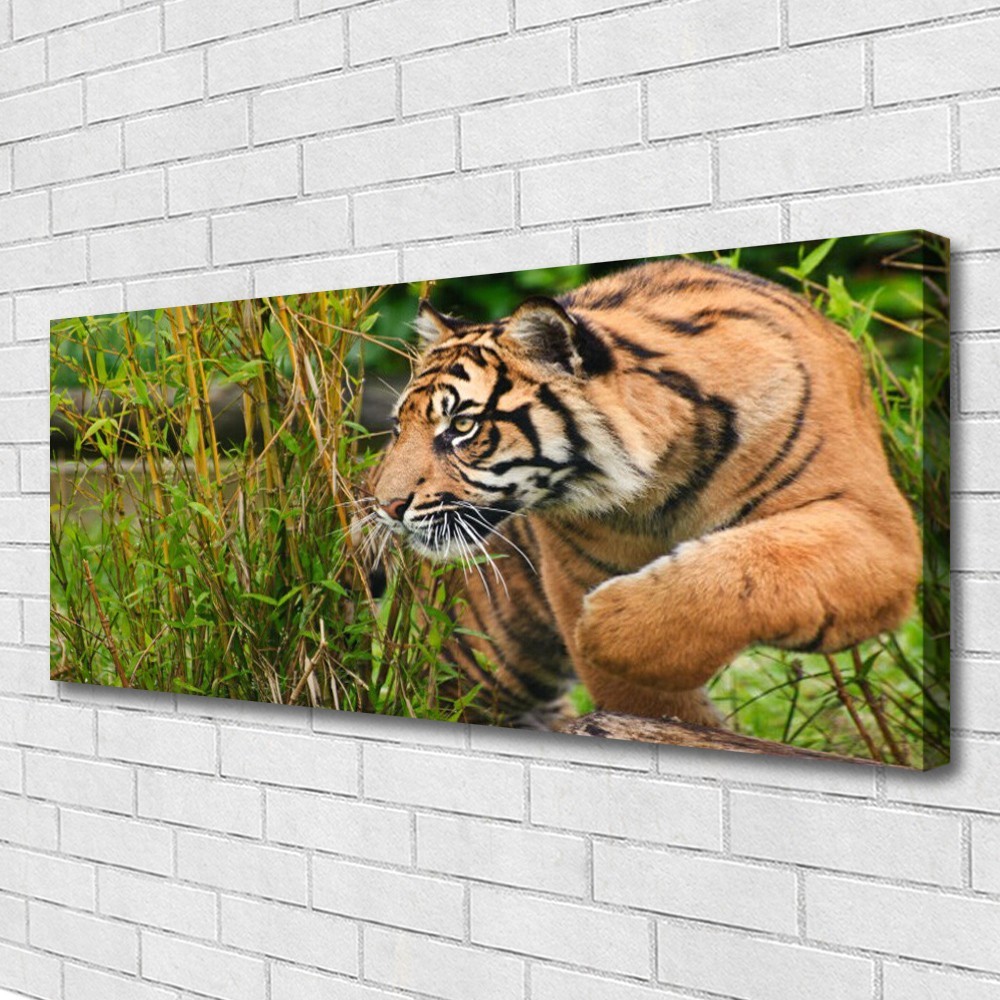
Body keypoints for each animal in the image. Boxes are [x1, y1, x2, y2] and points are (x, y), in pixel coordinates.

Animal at [367, 257, 922, 730]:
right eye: (398, 427)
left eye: (462, 426)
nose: (385, 507)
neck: (661, 481)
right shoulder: (578, 573)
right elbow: (646, 700)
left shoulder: (875, 527)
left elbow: (749, 568)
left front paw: (604, 628)